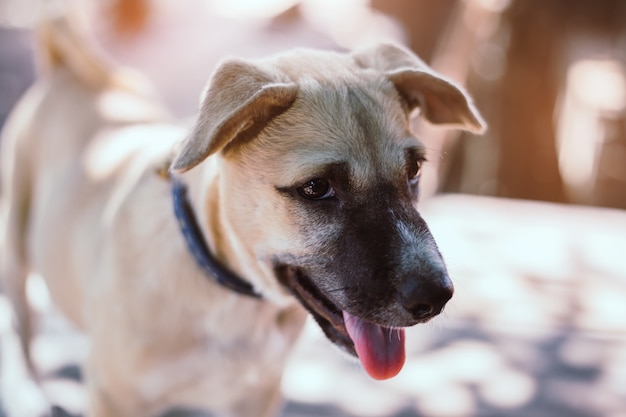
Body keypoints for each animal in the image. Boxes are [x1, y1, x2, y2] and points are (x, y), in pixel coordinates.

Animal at [0, 16, 482, 416]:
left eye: (414, 171)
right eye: (317, 188)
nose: (436, 297)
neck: (232, 300)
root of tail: (72, 70)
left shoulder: (258, 394)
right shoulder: (113, 397)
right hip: (16, 266)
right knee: (23, 335)